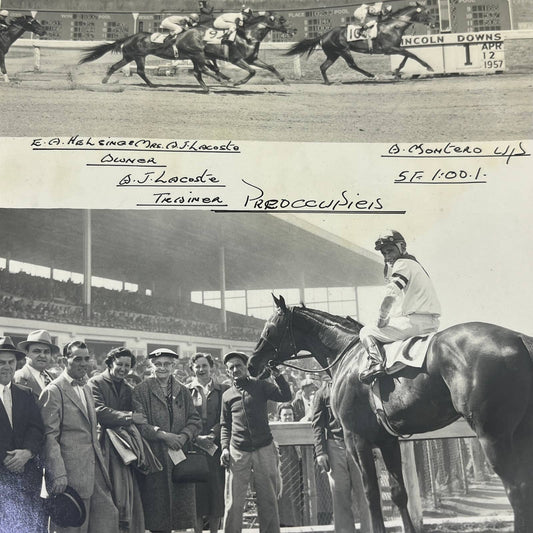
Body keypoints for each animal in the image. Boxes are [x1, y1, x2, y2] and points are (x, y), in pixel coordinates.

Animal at [79, 13, 296, 91]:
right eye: (280, 20)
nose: (293, 30)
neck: (247, 35)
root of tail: (129, 37)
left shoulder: (252, 58)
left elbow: (270, 66)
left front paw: (285, 80)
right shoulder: (236, 59)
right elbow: (251, 72)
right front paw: (236, 82)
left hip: (131, 56)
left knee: (116, 66)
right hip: (140, 56)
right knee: (141, 70)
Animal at [249, 296, 533, 532]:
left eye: (269, 328)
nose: (252, 363)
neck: (347, 354)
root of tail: (519, 338)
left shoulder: (356, 438)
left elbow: (372, 494)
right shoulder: (387, 439)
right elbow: (398, 492)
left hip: (492, 434)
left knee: (516, 489)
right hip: (519, 433)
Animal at [284, 3, 434, 84]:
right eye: (427, 12)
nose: (433, 23)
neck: (394, 26)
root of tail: (324, 35)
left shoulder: (396, 47)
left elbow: (407, 55)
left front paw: (397, 71)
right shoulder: (390, 48)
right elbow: (412, 54)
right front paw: (429, 67)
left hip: (333, 54)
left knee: (323, 67)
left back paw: (328, 82)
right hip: (343, 50)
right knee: (352, 65)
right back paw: (372, 75)